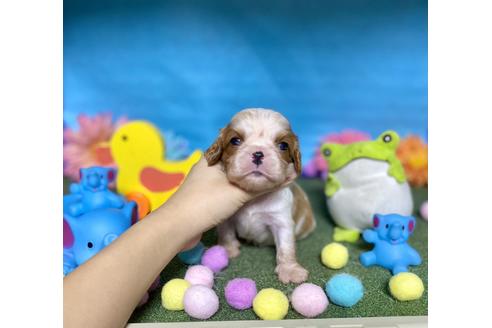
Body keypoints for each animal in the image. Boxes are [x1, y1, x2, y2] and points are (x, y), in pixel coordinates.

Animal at [204, 109, 316, 284]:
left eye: (283, 145)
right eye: (235, 140)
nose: (258, 153)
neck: (254, 196)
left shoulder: (281, 221)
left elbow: (286, 248)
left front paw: (290, 270)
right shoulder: (227, 216)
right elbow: (226, 231)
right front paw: (228, 249)